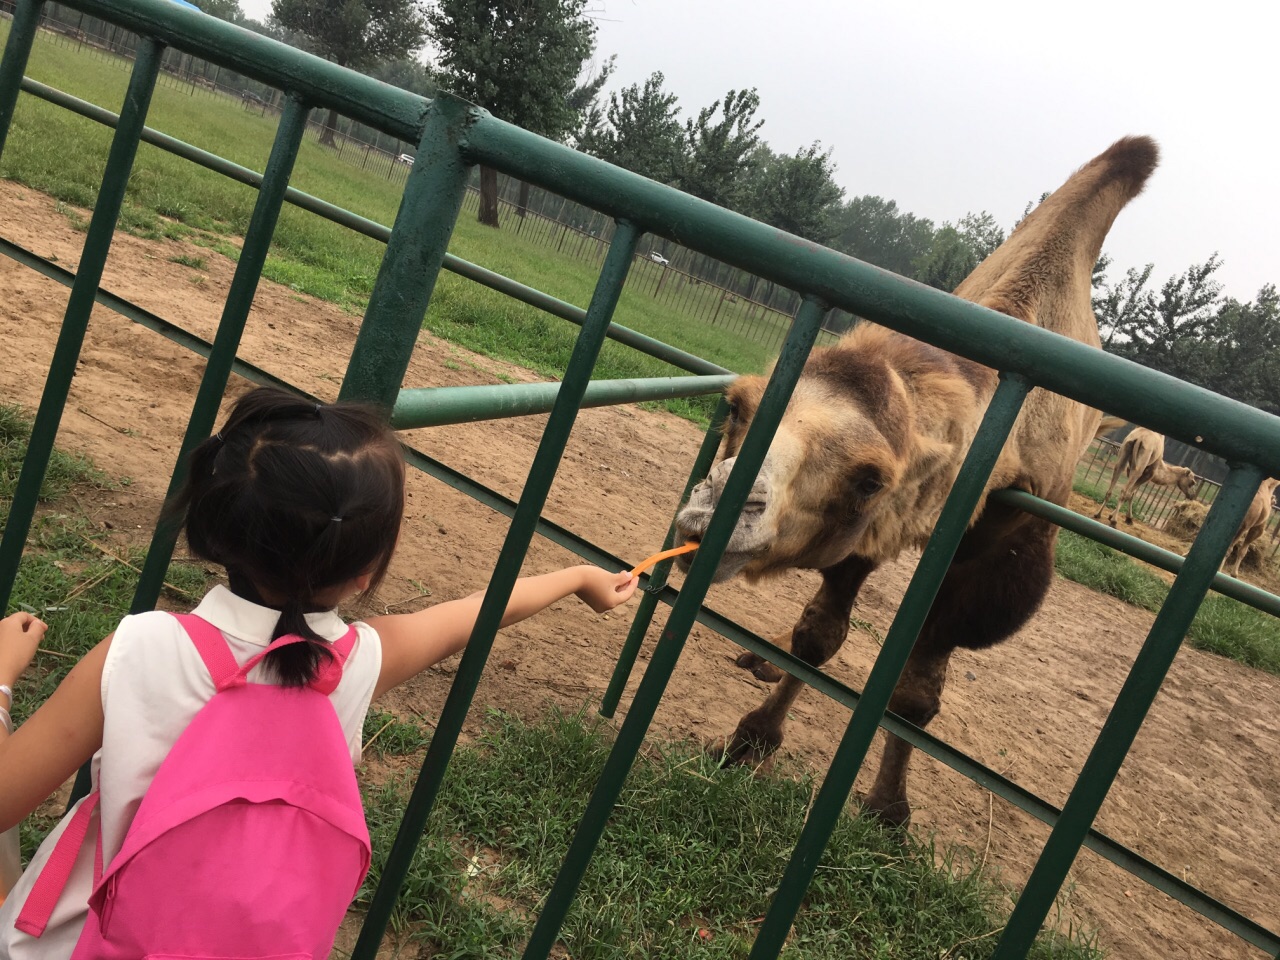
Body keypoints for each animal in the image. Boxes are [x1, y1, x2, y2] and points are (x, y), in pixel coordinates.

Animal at [680, 135, 1162, 829]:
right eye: (738, 405)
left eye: (870, 479)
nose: (716, 510)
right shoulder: (870, 535)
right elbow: (819, 637)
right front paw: (752, 739)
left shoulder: (988, 556)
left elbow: (914, 696)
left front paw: (887, 808)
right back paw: (758, 657)